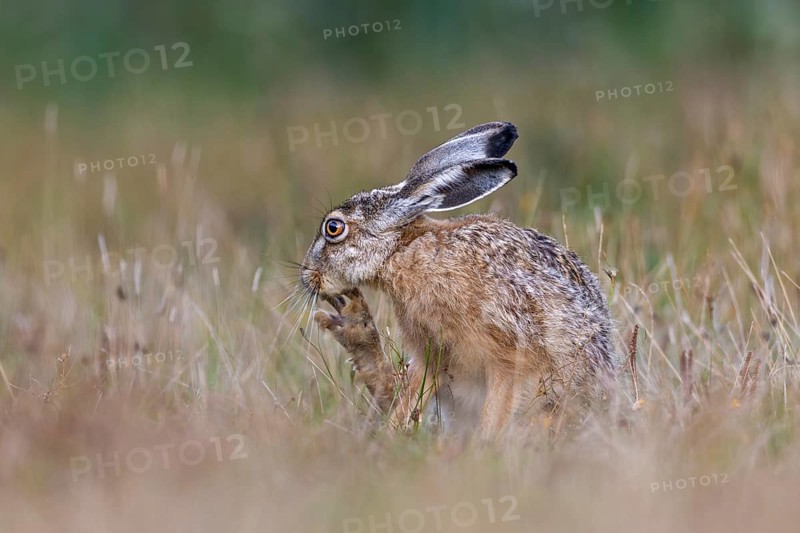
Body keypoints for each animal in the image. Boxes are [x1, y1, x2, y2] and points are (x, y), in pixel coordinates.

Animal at [301, 122, 615, 438]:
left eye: (333, 228)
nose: (308, 277)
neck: (401, 250)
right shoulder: (431, 353)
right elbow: (412, 395)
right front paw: (392, 434)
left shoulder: (511, 352)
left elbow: (497, 408)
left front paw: (484, 443)